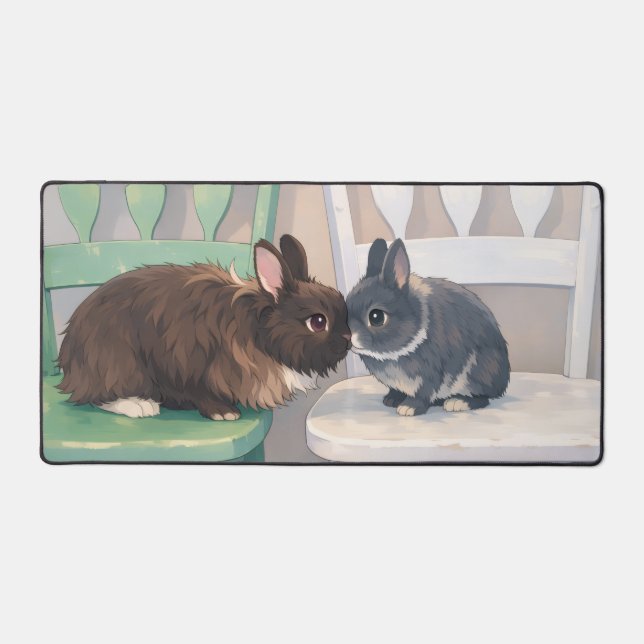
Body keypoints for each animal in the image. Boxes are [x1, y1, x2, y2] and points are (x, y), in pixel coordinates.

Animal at [57, 235, 351, 421]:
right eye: (318, 322)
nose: (349, 340)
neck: (256, 331)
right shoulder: (188, 364)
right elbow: (199, 391)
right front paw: (225, 412)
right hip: (120, 366)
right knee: (98, 396)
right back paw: (139, 406)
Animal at [345, 238, 510, 416]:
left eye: (376, 317)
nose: (347, 336)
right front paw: (392, 400)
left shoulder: (432, 371)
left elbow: (424, 391)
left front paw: (409, 408)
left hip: (479, 371)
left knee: (483, 397)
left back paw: (457, 402)